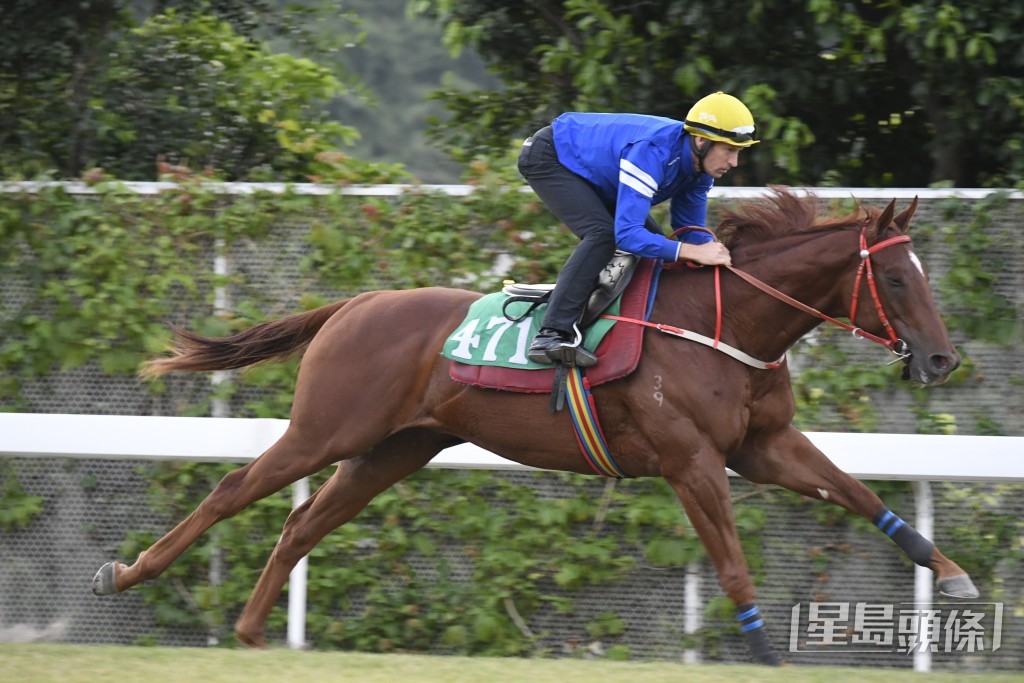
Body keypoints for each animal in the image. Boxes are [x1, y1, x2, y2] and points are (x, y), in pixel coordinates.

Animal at [94, 188, 974, 667]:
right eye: (897, 279)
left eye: (923, 275)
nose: (941, 358)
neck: (723, 323)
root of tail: (354, 302)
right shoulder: (691, 458)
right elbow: (730, 561)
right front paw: (760, 651)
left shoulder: (762, 446)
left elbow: (859, 493)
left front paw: (952, 572)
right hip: (327, 429)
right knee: (234, 488)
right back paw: (128, 573)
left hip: (393, 449)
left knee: (304, 520)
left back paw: (249, 631)